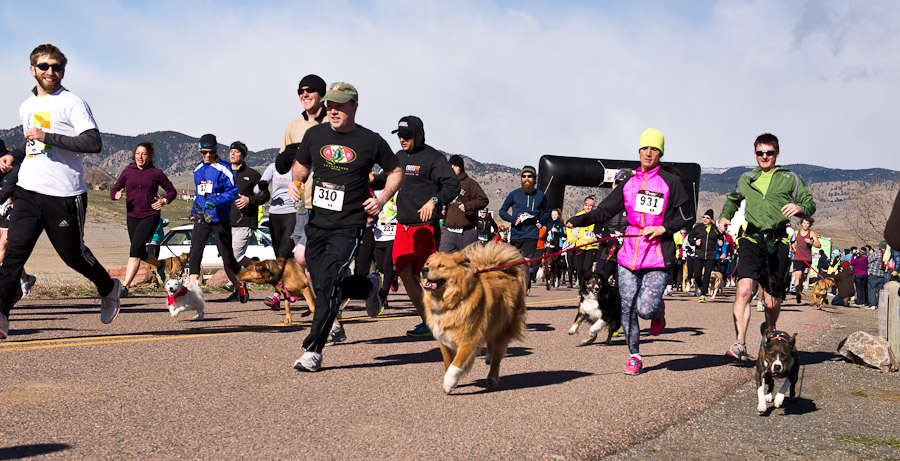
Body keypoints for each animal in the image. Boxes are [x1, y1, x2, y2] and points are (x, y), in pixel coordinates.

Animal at [420, 243, 528, 394]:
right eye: (428, 263)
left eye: (441, 265)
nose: (424, 270)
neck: (452, 301)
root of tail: (509, 273)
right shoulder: (444, 340)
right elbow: (448, 363)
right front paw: (450, 381)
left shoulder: (468, 341)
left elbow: (455, 365)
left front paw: (449, 383)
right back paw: (488, 357)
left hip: (502, 330)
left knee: (497, 359)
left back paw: (492, 377)